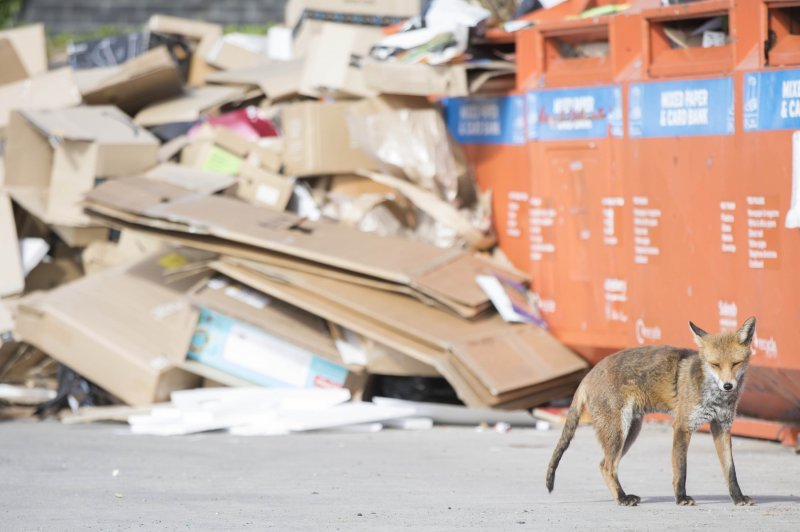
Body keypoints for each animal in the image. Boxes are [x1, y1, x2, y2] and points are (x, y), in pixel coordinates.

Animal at [544, 316, 756, 508]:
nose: (727, 386)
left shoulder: (722, 427)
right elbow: (681, 469)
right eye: (715, 364)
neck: (715, 396)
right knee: (607, 466)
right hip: (619, 432)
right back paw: (622, 498)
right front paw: (681, 498)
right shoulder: (682, 426)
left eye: (736, 363)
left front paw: (738, 498)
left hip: (630, 432)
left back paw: (621, 496)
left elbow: (730, 470)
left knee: (605, 465)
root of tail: (588, 374)